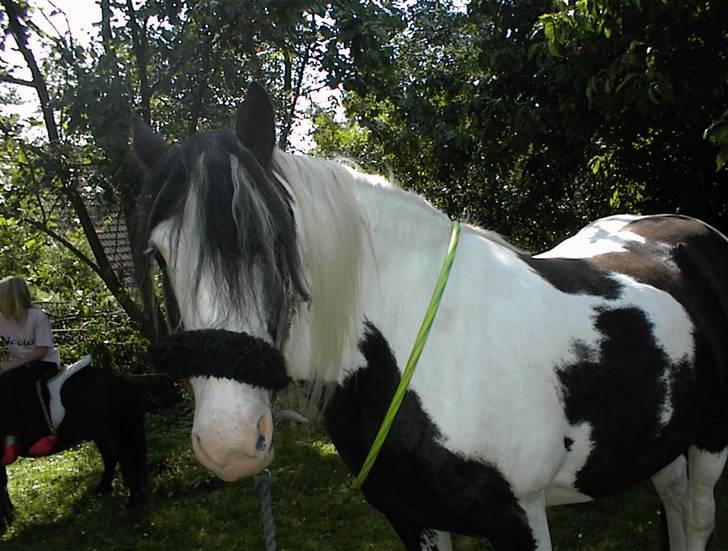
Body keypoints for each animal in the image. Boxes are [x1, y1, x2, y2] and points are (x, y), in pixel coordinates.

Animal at [136, 83, 728, 551]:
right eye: (159, 255)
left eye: (274, 241)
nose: (228, 444)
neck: (430, 352)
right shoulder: (412, 518)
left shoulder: (520, 517)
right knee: (673, 500)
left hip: (710, 435)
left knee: (697, 516)